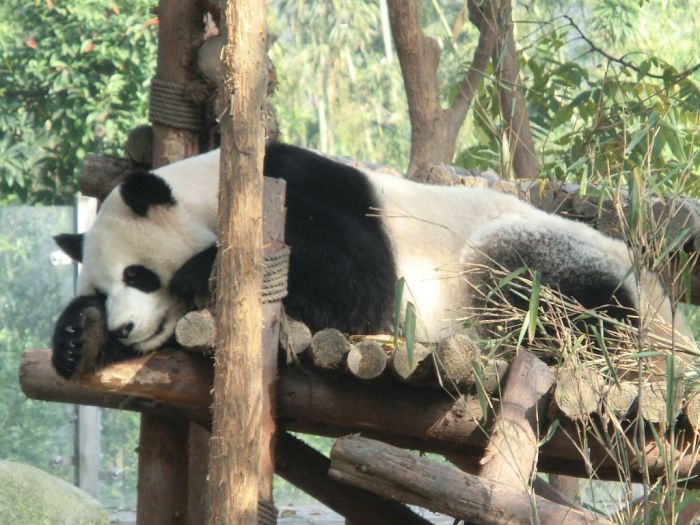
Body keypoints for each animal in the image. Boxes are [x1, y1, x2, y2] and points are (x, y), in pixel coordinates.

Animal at [51, 143, 695, 379]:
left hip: (545, 252)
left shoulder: (301, 185)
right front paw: (78, 338)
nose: (125, 328)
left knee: (534, 282)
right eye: (103, 290)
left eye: (138, 274)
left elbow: (361, 284)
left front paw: (200, 266)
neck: (214, 184)